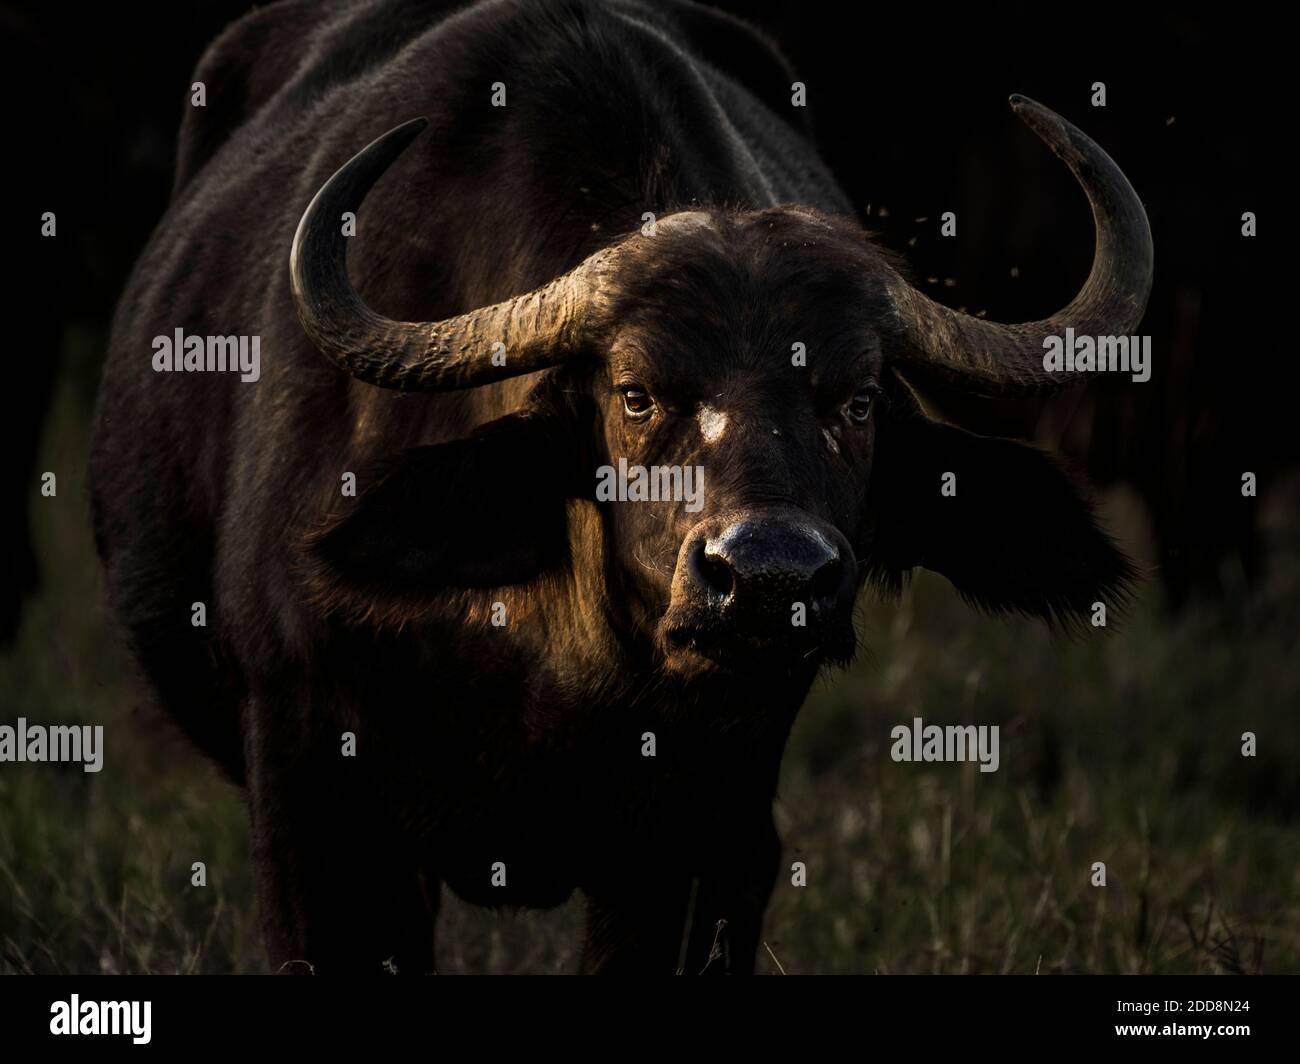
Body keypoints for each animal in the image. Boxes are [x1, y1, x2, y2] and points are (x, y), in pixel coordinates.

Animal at [90, 0, 1151, 973]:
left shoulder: (708, 839)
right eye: (635, 394)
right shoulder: (311, 796)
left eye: (856, 401)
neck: (553, 656)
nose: (768, 578)